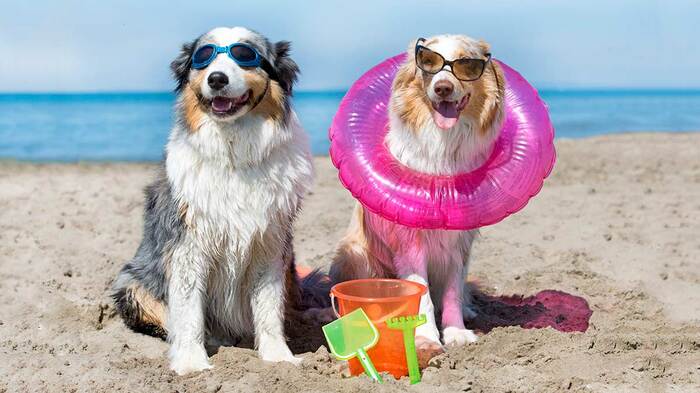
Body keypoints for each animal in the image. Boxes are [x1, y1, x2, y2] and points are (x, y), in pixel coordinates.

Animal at [328, 35, 504, 360]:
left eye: (466, 63)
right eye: (429, 63)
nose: (443, 88)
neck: (444, 146)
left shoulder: (459, 243)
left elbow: (451, 291)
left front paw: (457, 332)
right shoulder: (410, 242)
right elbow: (420, 293)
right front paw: (425, 338)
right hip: (354, 253)